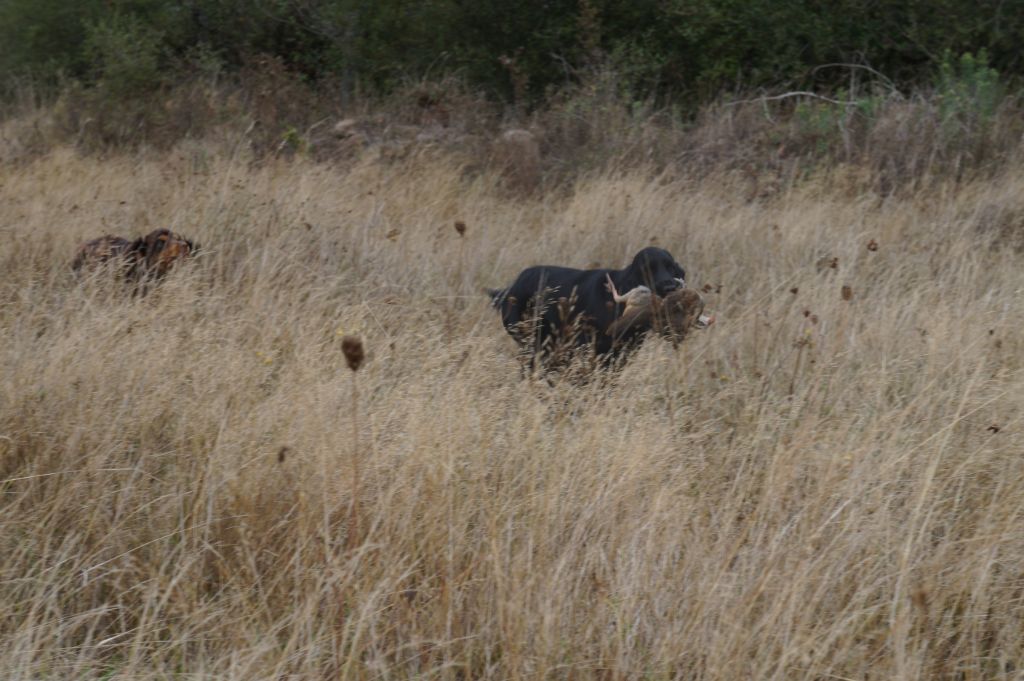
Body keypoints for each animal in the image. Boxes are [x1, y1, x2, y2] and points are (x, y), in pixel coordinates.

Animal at [489, 246, 688, 368]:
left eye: (671, 267)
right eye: (647, 269)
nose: (670, 287)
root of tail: (512, 286)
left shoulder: (619, 355)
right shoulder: (587, 348)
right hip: (532, 341)